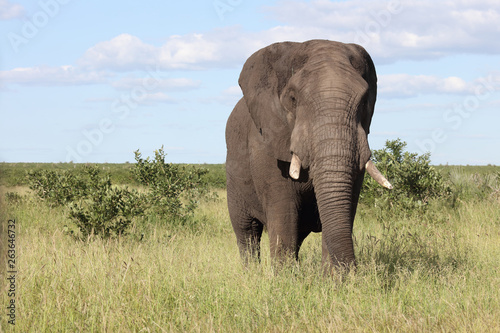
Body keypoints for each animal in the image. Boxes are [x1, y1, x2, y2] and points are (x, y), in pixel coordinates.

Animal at [225, 39, 392, 270]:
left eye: (365, 100)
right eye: (293, 98)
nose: (353, 271)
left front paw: (330, 276)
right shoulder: (266, 143)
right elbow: (284, 211)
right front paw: (285, 277)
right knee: (247, 232)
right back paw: (251, 272)